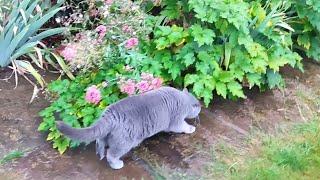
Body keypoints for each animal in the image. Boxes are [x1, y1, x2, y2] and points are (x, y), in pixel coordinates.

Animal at [55, 86, 200, 169]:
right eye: (198, 105)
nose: (200, 108)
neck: (183, 98)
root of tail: (110, 114)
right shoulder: (176, 120)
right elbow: (182, 126)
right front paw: (191, 128)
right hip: (124, 142)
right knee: (111, 154)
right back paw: (117, 164)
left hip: (106, 134)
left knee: (100, 141)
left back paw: (100, 152)